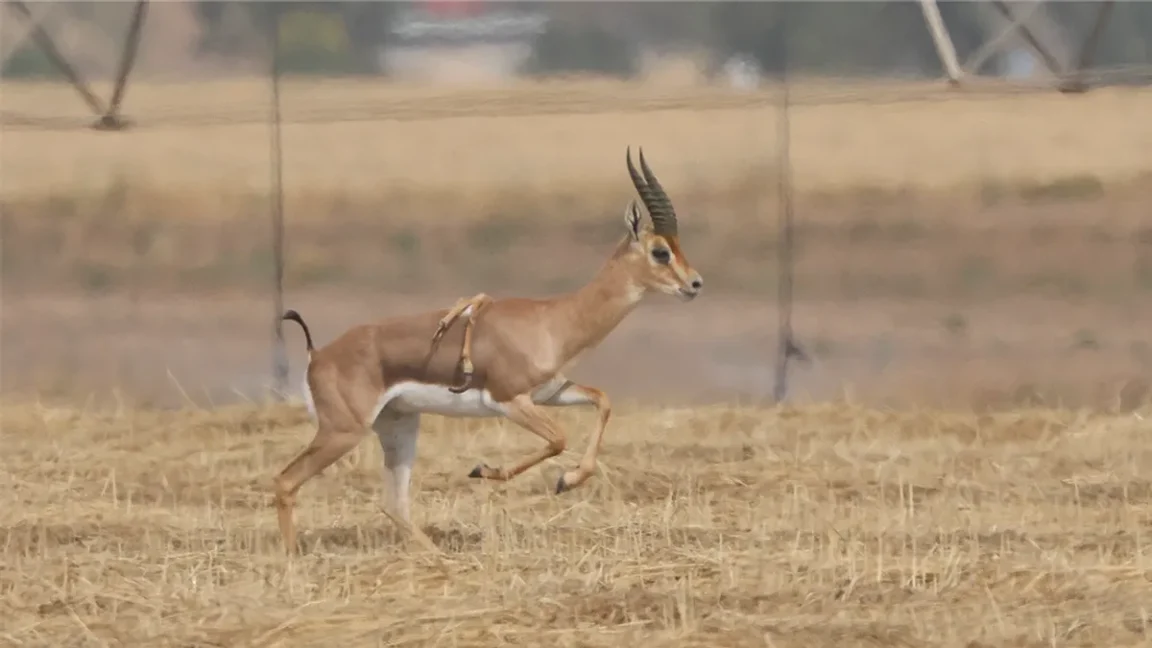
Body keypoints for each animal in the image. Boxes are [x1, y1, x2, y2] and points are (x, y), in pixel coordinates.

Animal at [275, 147, 703, 553]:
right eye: (660, 251)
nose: (695, 284)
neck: (552, 320)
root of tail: (318, 355)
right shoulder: (509, 400)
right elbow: (559, 439)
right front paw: (486, 470)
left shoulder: (550, 393)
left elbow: (603, 400)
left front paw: (567, 479)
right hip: (342, 432)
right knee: (285, 481)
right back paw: (293, 559)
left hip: (399, 425)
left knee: (393, 503)